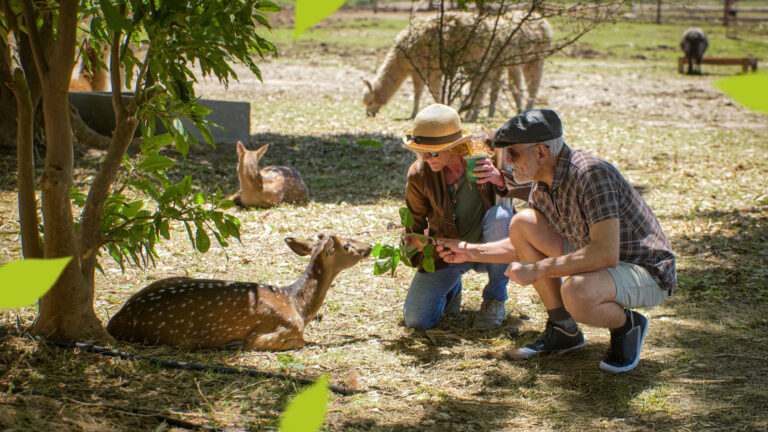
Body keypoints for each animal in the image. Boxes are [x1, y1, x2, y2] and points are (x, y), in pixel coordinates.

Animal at [108, 233, 372, 352]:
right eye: (347, 245)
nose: (369, 246)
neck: (298, 306)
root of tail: (114, 322)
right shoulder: (276, 333)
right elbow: (300, 341)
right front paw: (235, 342)